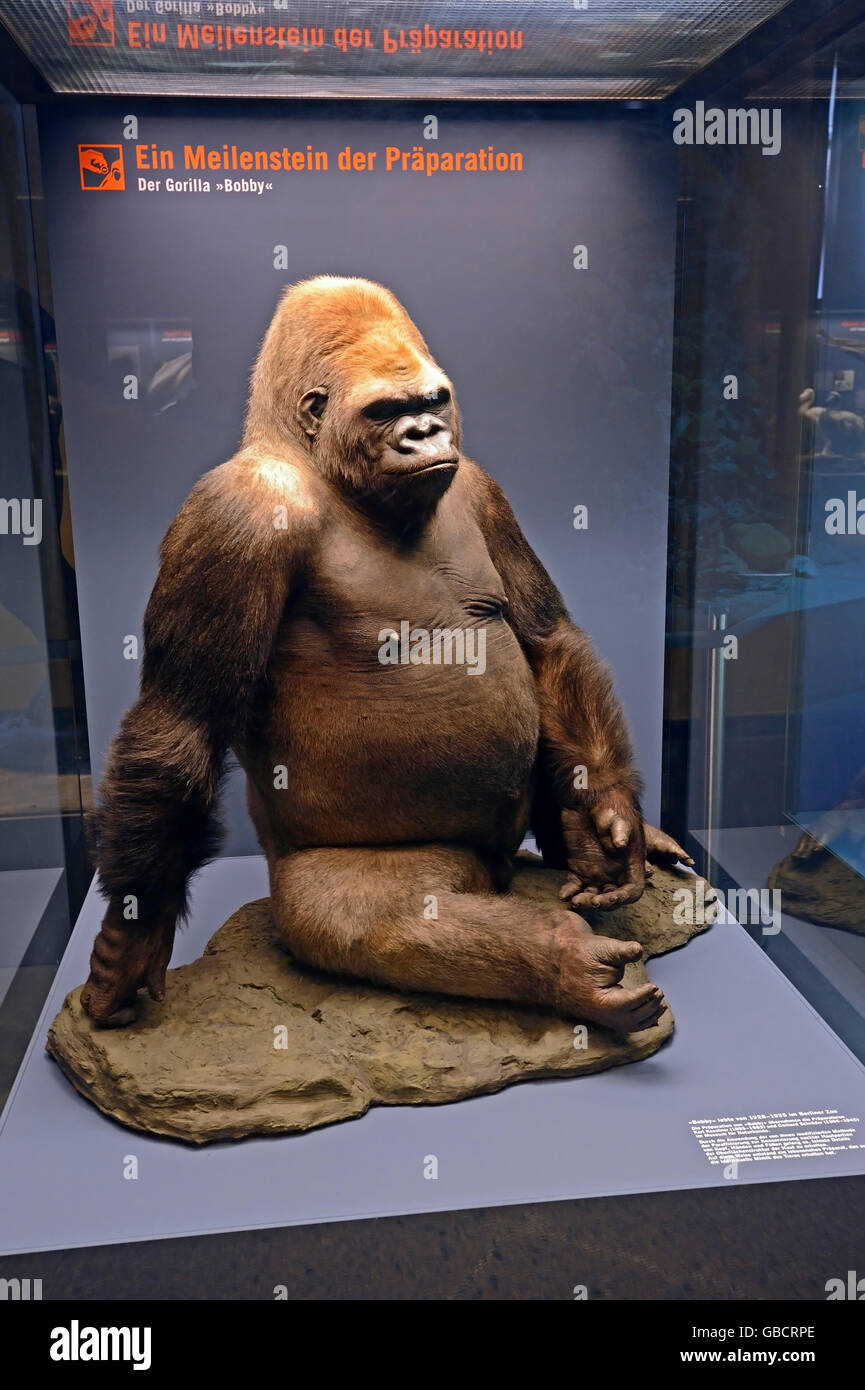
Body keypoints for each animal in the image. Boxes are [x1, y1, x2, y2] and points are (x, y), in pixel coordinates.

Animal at [82, 276, 691, 1036]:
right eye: (386, 411)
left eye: (432, 401)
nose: (426, 434)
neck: (317, 463)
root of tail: (497, 870)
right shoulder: (234, 512)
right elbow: (180, 727)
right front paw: (135, 932)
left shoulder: (481, 487)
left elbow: (545, 638)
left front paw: (606, 816)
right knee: (383, 916)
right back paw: (566, 963)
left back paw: (602, 843)